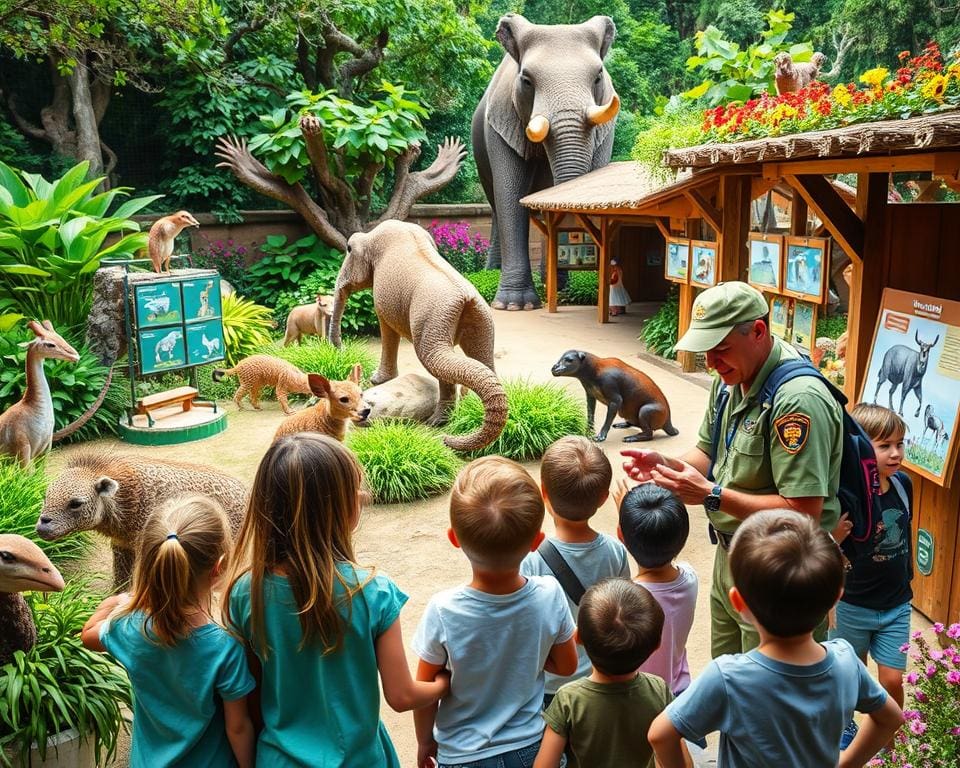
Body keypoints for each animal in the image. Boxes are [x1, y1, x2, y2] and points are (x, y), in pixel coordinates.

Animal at [474, 13, 624, 310]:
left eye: (598, 76)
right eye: (526, 80)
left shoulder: (605, 128)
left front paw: (580, 293)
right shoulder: (500, 125)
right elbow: (510, 197)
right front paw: (514, 306)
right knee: (496, 204)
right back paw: (492, 275)